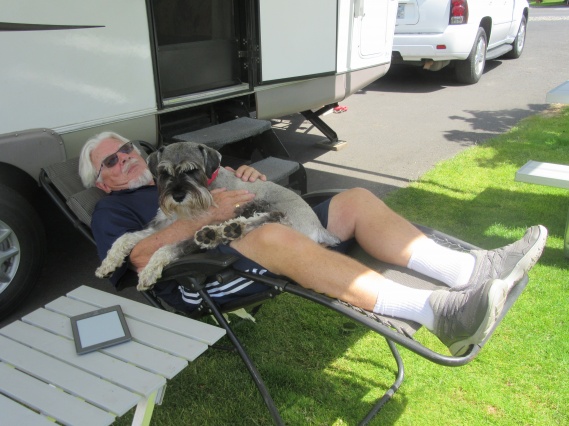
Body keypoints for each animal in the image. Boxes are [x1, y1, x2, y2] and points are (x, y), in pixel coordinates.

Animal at [95, 141, 340, 292]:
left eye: (192, 170)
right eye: (164, 172)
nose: (178, 195)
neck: (208, 185)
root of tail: (319, 227)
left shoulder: (189, 234)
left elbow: (167, 248)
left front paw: (148, 272)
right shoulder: (162, 225)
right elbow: (126, 237)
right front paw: (108, 263)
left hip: (277, 214)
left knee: (264, 220)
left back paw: (224, 231)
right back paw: (218, 233)